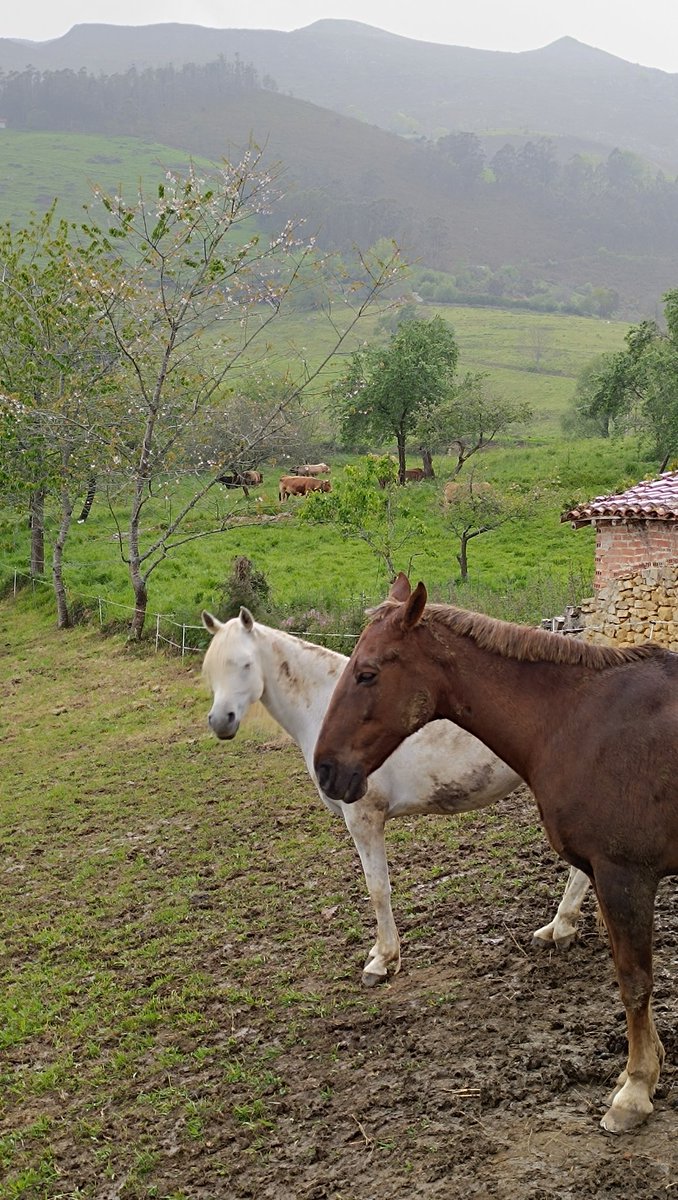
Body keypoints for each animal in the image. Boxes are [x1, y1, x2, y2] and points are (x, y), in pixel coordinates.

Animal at [198, 609, 590, 984]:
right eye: (210, 669)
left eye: (245, 664)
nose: (220, 721)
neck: (323, 706)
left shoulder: (364, 818)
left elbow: (378, 889)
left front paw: (383, 960)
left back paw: (561, 927)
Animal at [316, 571, 676, 1132]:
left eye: (368, 674)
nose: (326, 769)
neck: (578, 720)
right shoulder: (609, 877)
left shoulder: (626, 876)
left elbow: (634, 982)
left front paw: (635, 1090)